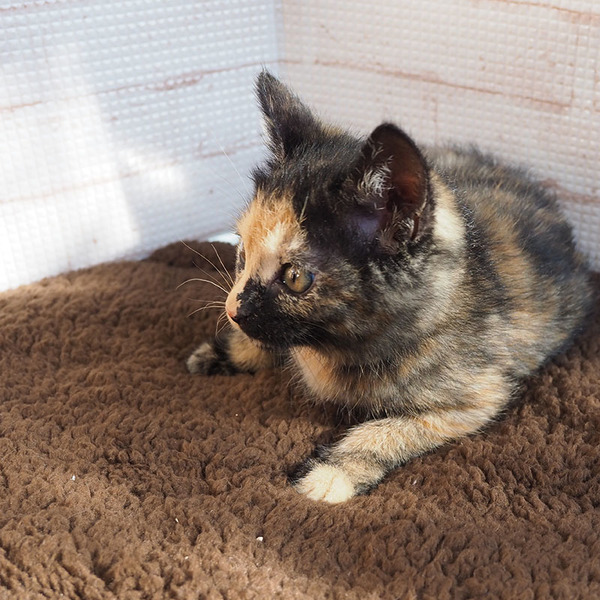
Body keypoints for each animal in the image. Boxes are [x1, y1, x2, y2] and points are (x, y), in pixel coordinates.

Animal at [187, 71, 592, 503]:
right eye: (242, 253)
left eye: (295, 278)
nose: (233, 310)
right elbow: (272, 340)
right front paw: (224, 351)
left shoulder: (477, 397)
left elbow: (390, 429)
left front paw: (331, 473)